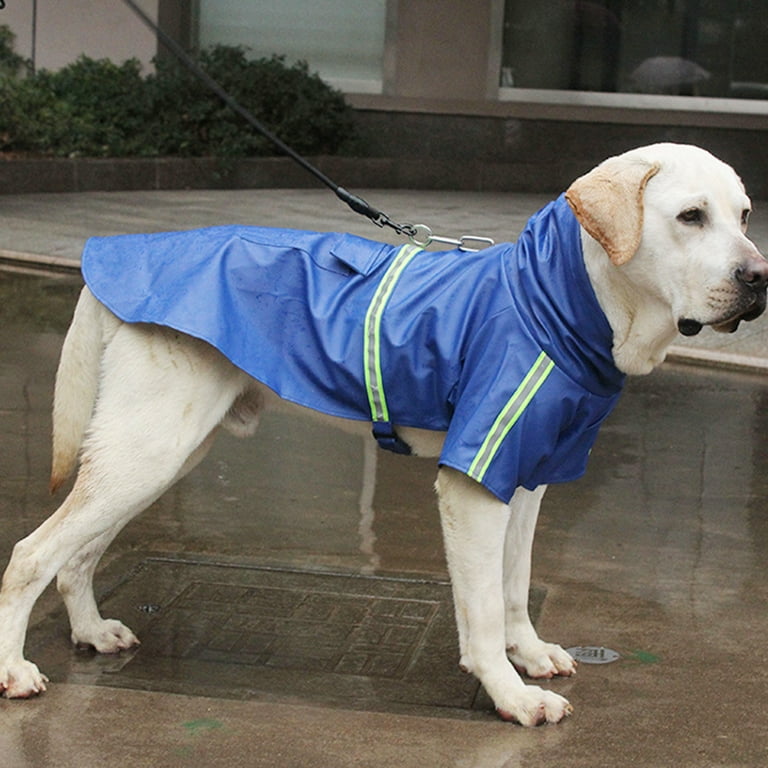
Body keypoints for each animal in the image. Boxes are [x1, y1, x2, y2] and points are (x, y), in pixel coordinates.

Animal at [1, 144, 768, 728]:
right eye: (690, 217)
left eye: (744, 215)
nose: (759, 277)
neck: (558, 299)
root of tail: (119, 255)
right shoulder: (472, 486)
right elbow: (481, 612)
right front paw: (511, 695)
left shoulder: (526, 479)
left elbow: (514, 587)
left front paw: (528, 654)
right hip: (148, 450)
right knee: (32, 554)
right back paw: (15, 668)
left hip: (163, 454)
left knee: (76, 555)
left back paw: (91, 632)